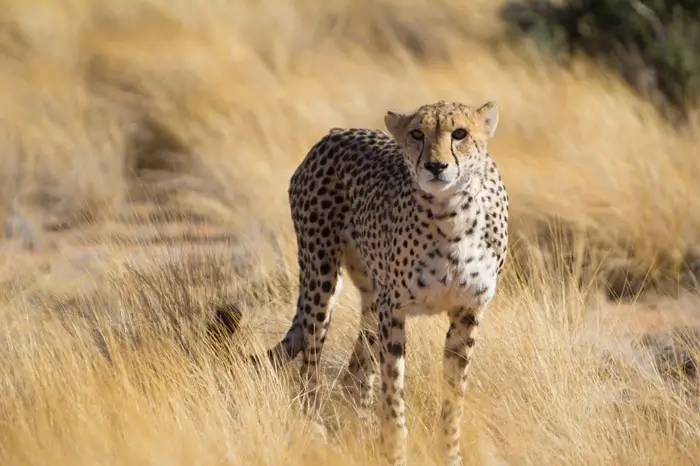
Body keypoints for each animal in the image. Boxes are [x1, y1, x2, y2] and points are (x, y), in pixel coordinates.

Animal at [250, 100, 509, 466]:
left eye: (460, 134)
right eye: (417, 134)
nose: (436, 165)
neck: (451, 213)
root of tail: (337, 132)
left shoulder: (467, 310)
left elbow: (453, 393)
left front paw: (448, 453)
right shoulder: (394, 309)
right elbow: (393, 388)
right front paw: (393, 449)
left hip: (371, 298)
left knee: (355, 369)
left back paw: (357, 422)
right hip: (322, 277)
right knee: (311, 360)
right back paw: (314, 424)